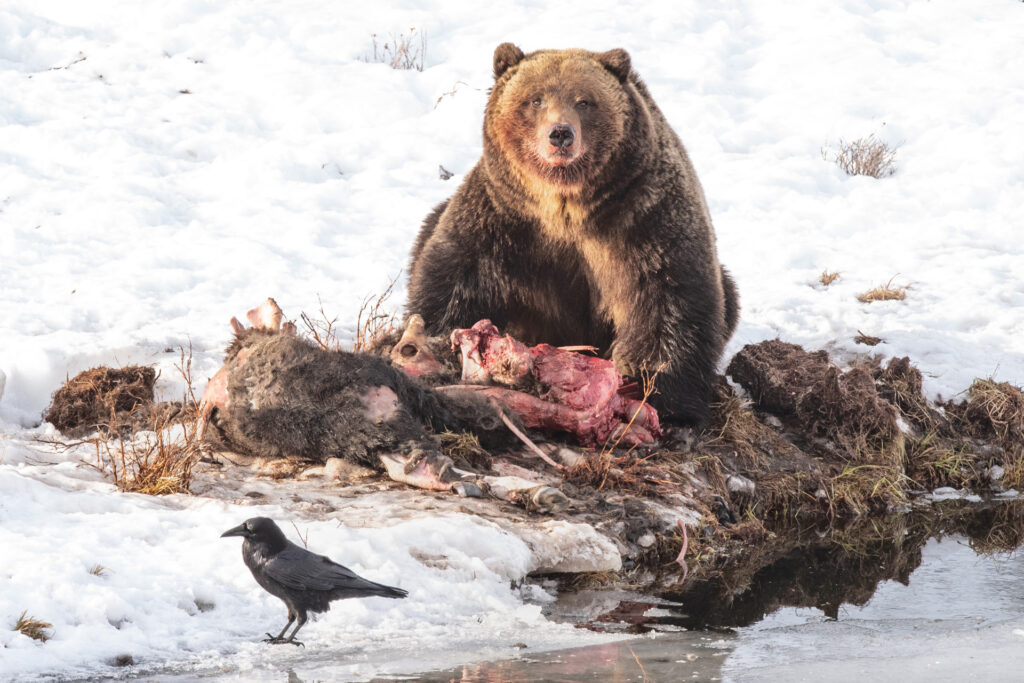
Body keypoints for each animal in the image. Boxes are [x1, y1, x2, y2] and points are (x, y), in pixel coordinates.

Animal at [406, 43, 739, 428]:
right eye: (535, 99)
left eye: (584, 101)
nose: (560, 133)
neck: (566, 206)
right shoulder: (502, 218)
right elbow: (454, 277)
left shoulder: (643, 216)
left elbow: (667, 296)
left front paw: (662, 395)